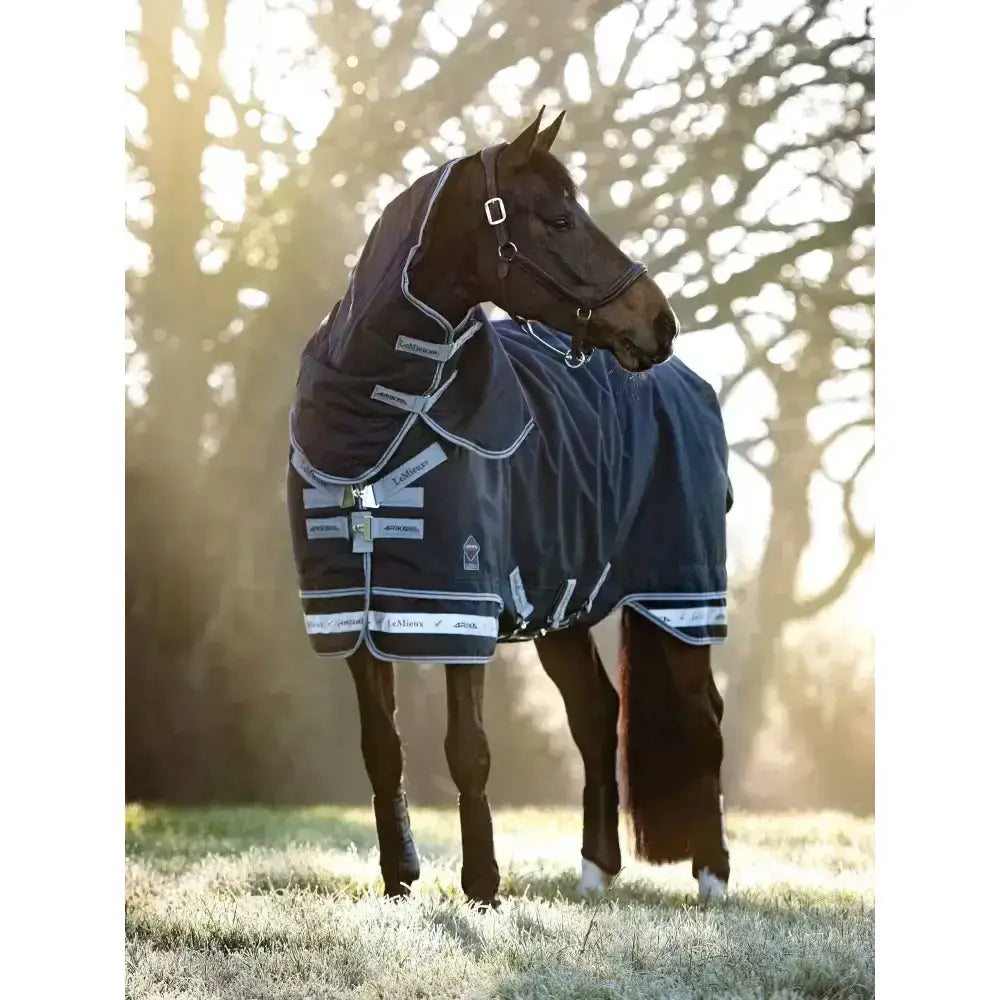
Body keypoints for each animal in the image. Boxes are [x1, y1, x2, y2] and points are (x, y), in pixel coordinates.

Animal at [286, 109, 733, 908]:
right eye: (557, 218)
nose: (659, 321)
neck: (383, 422)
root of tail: (688, 381)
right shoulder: (356, 613)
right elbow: (381, 749)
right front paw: (400, 883)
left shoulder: (458, 605)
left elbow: (468, 750)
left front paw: (483, 888)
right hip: (563, 605)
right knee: (595, 716)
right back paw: (596, 871)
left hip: (682, 597)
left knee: (702, 717)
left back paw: (712, 876)